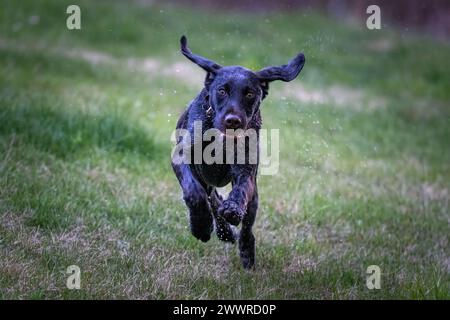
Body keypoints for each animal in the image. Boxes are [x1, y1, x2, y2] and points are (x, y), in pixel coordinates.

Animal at [172, 35, 306, 268]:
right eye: (222, 91)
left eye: (250, 93)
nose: (233, 121)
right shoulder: (181, 157)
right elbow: (193, 193)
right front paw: (201, 225)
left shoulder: (246, 171)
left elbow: (240, 192)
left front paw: (232, 210)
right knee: (211, 197)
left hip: (254, 199)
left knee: (246, 226)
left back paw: (242, 247)